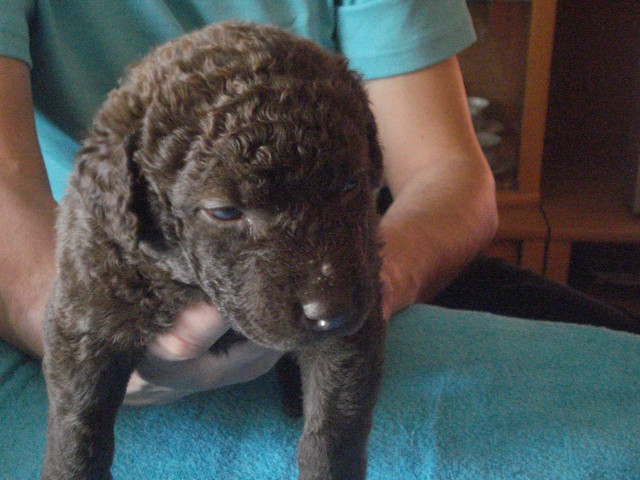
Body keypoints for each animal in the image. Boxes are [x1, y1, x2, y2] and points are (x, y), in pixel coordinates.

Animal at [42, 20, 388, 478]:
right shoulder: (85, 315)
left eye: (351, 185)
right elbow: (78, 427)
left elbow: (335, 427)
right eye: (224, 211)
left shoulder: (358, 316)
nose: (333, 312)